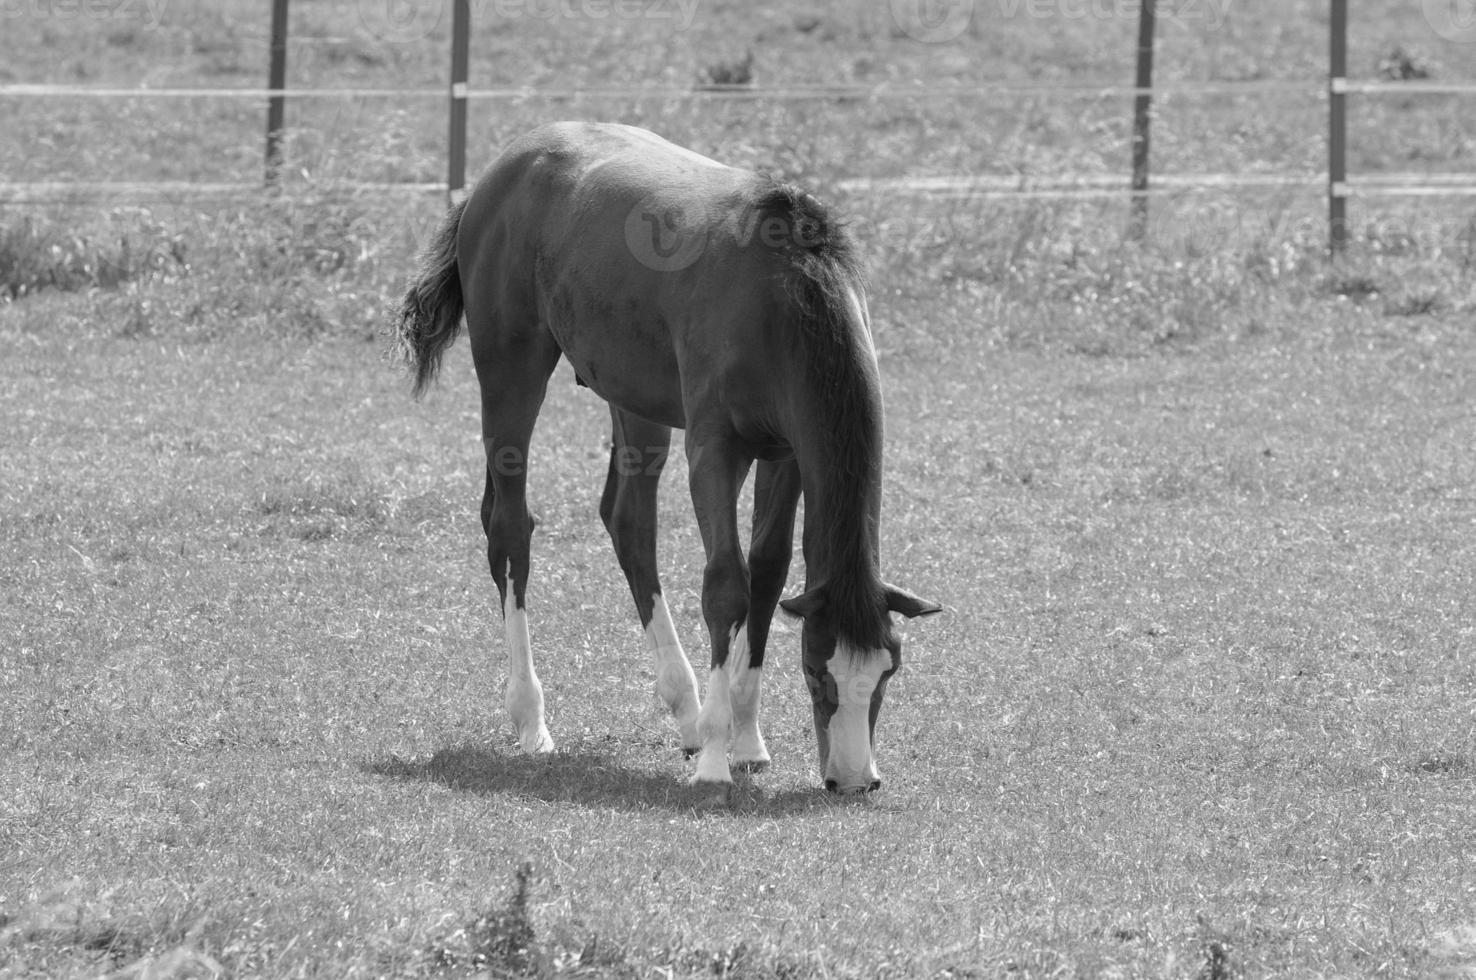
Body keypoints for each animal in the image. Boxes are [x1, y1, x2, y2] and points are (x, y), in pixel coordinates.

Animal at [392, 124, 938, 796]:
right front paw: (715, 760)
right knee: (510, 528)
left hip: (635, 400)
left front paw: (746, 739)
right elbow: (726, 584)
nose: (856, 779)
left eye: (888, 672)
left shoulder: (786, 453)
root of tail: (497, 175)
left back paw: (684, 708)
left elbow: (768, 572)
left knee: (629, 523)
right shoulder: (715, 449)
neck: (780, 295)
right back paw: (532, 720)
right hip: (511, 371)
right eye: (816, 671)